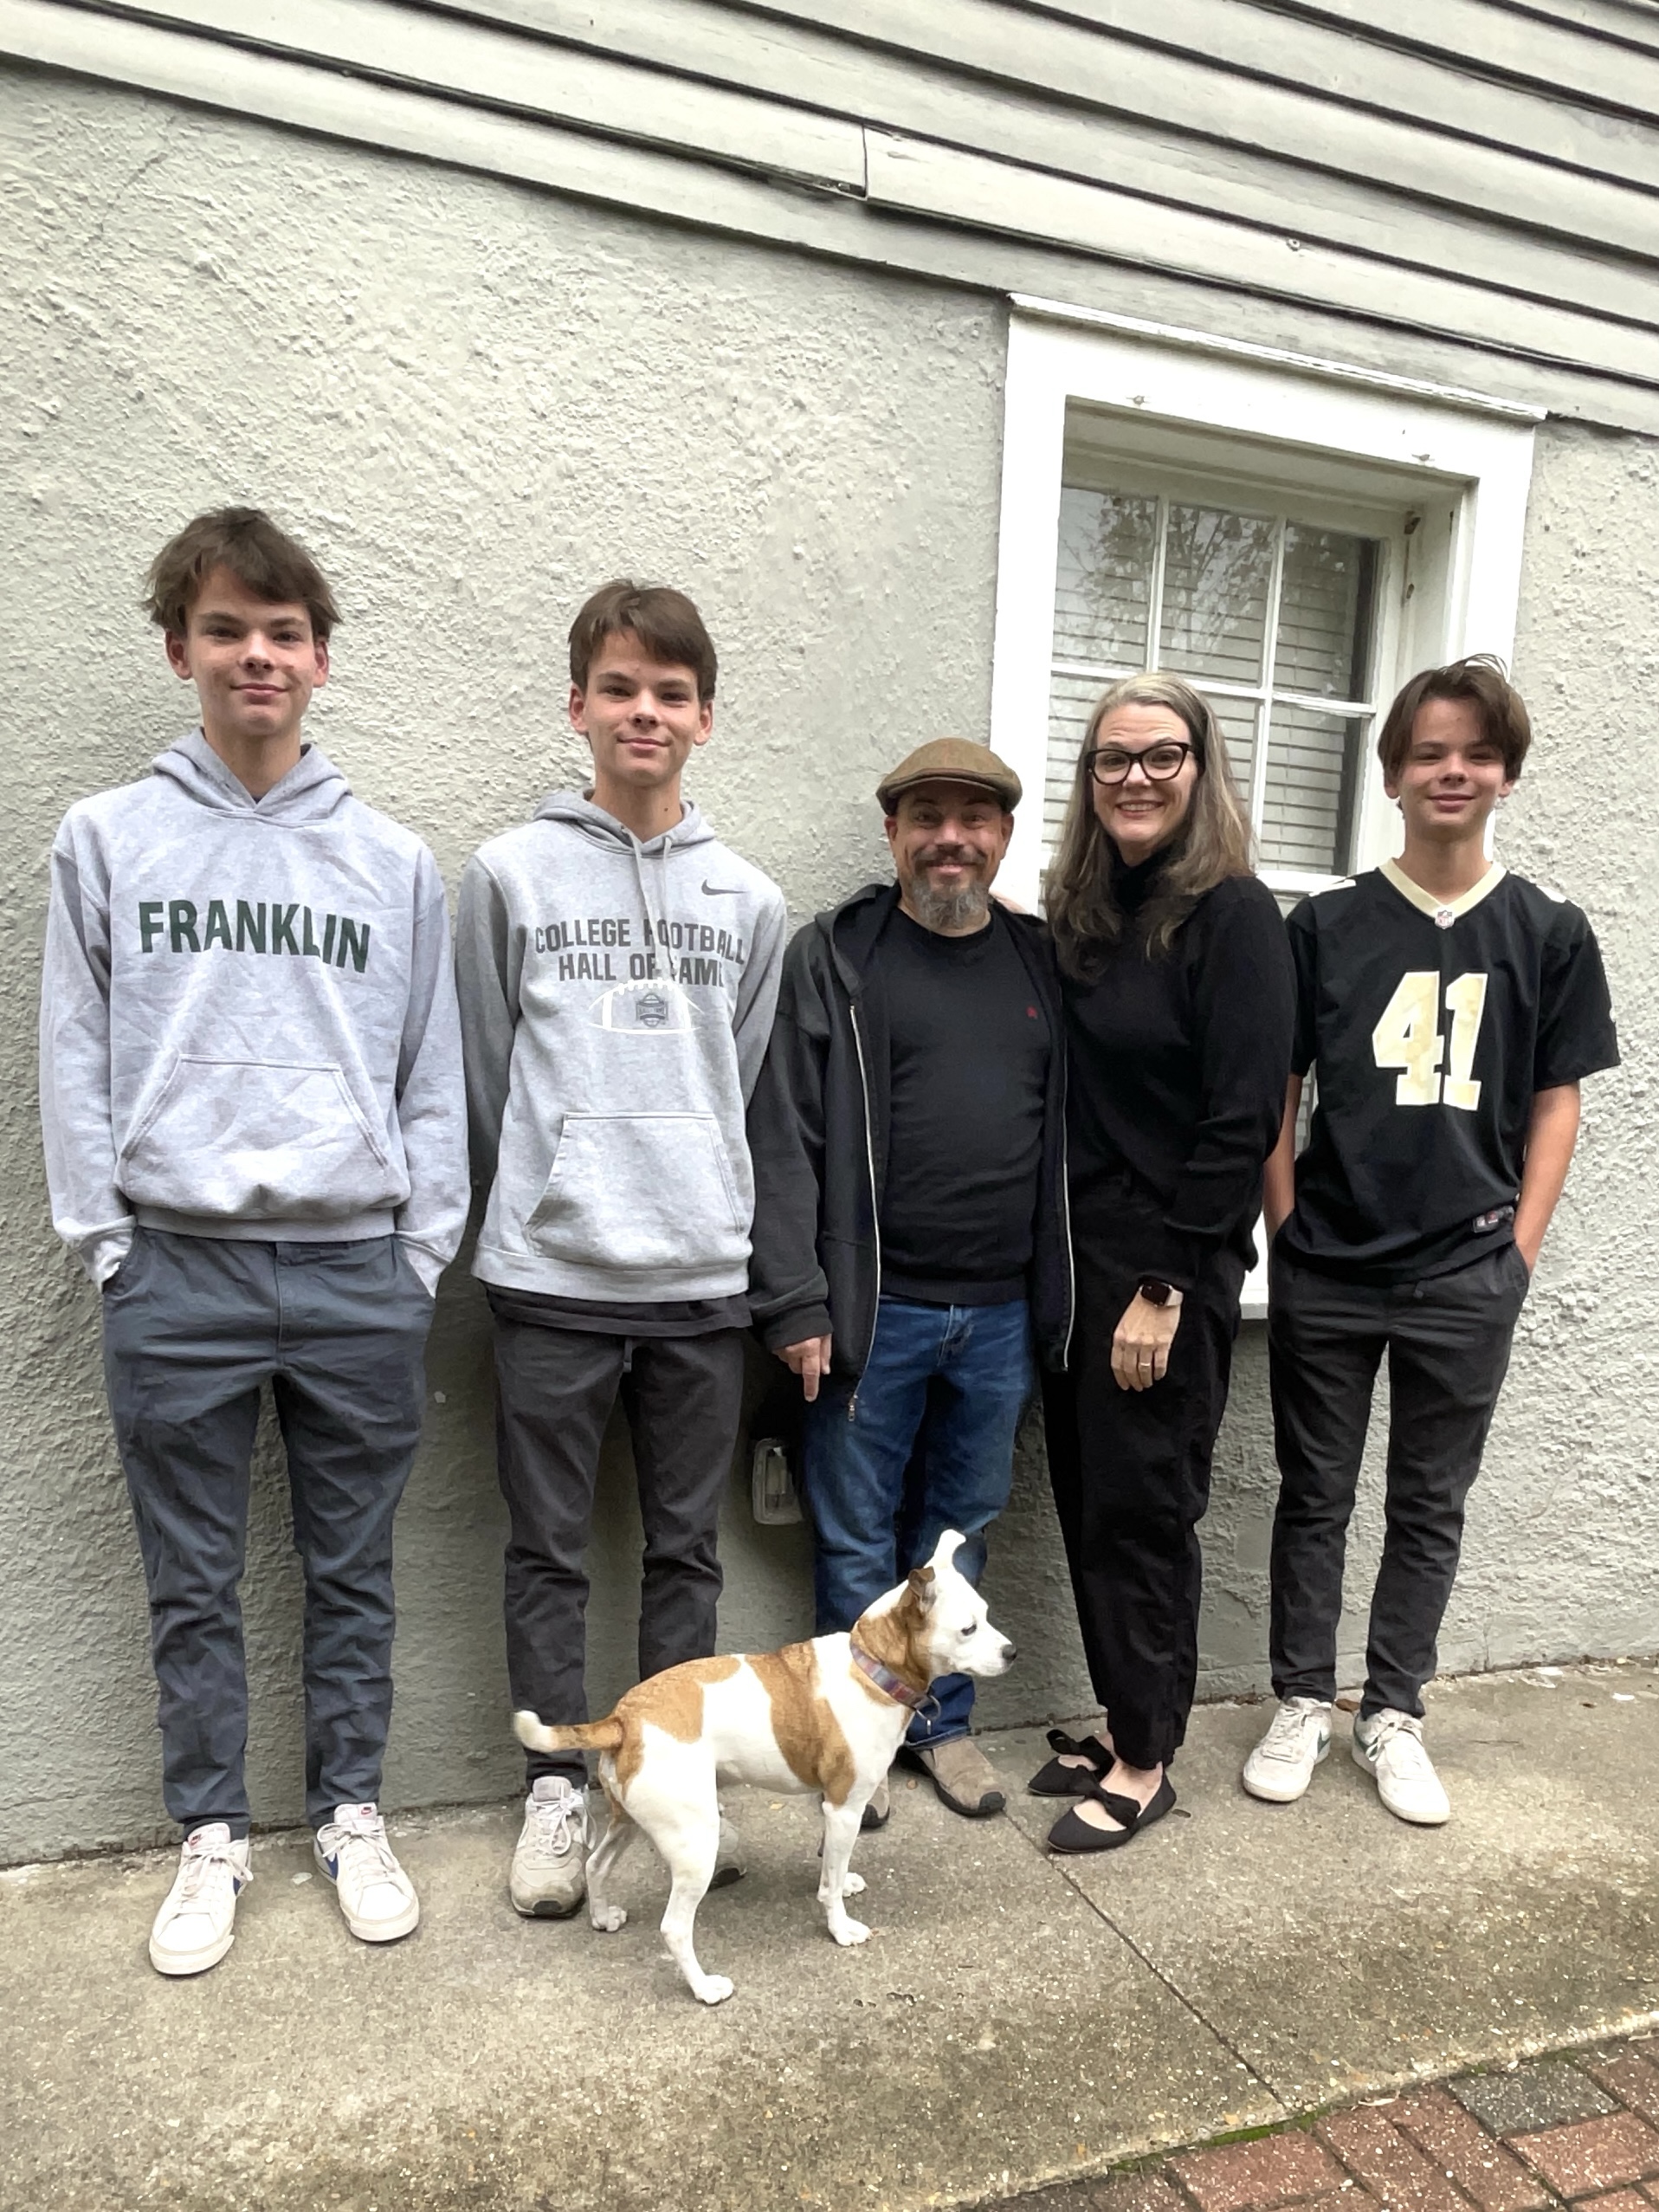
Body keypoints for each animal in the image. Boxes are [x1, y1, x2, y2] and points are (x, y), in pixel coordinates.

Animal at [512, 1527, 1014, 2005]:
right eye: (968, 1629)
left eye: (987, 1615)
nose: (1012, 1653)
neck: (872, 1667)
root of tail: (624, 1718)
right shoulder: (845, 1808)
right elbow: (830, 1882)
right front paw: (840, 1928)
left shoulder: (837, 1811)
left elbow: (833, 1866)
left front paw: (841, 1883)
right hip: (695, 1844)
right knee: (674, 1928)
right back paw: (704, 1989)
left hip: (629, 1821)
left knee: (597, 1866)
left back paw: (602, 1916)